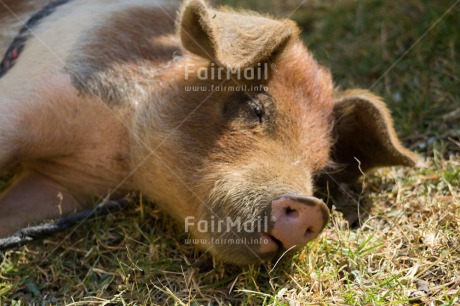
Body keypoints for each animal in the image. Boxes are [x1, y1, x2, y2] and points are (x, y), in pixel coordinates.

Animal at [0, 0, 418, 264]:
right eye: (255, 108)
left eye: (319, 170)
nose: (311, 210)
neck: (113, 144)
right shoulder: (28, 97)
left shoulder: (62, 185)